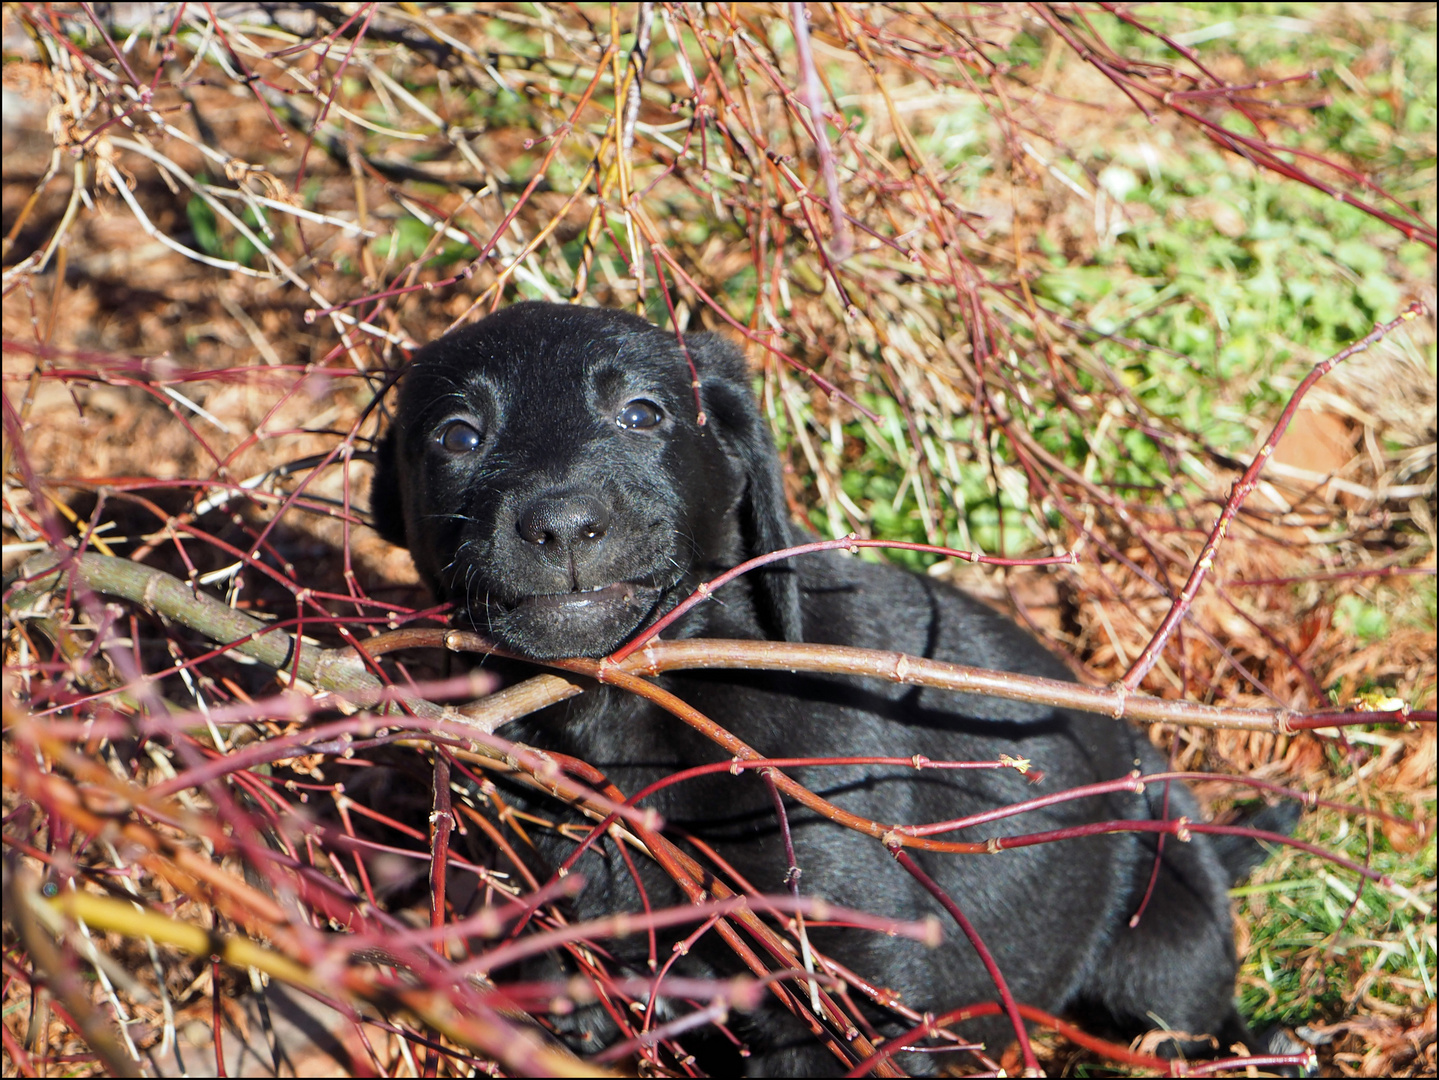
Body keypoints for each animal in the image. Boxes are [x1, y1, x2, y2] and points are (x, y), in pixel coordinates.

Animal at [371, 300, 1272, 1075]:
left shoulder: (842, 977)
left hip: (1165, 942)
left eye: (642, 415)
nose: (560, 524)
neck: (623, 712)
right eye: (457, 435)